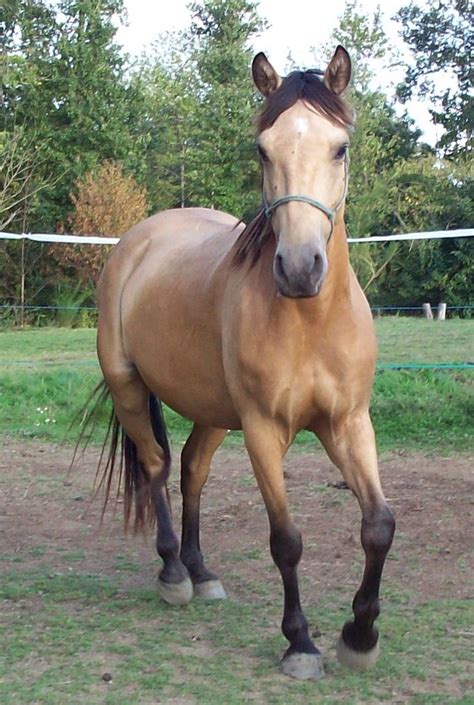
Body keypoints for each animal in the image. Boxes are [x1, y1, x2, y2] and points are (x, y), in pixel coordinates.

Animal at [89, 46, 395, 681]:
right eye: (263, 149)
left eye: (340, 147)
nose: (300, 267)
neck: (310, 321)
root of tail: (140, 240)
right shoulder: (262, 431)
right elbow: (287, 540)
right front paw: (300, 643)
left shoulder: (349, 423)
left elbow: (378, 525)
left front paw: (359, 635)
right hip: (130, 389)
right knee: (155, 467)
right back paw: (174, 573)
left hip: (211, 410)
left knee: (191, 469)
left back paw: (201, 570)